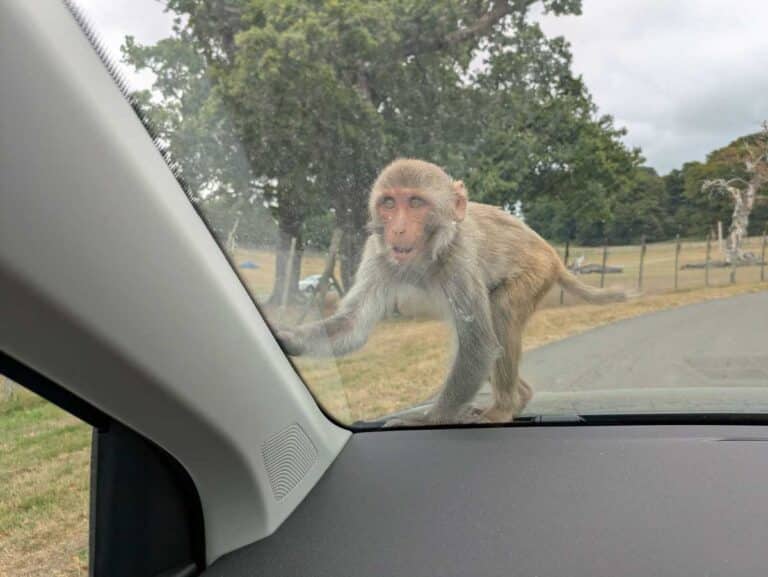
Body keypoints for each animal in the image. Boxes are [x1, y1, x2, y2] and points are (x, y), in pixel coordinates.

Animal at [277, 158, 631, 426]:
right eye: (389, 203)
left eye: (415, 203)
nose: (398, 229)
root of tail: (552, 255)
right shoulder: (378, 254)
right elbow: (353, 326)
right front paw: (287, 338)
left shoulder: (458, 258)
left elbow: (480, 345)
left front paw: (427, 420)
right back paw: (521, 397)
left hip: (535, 272)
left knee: (500, 310)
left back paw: (504, 408)